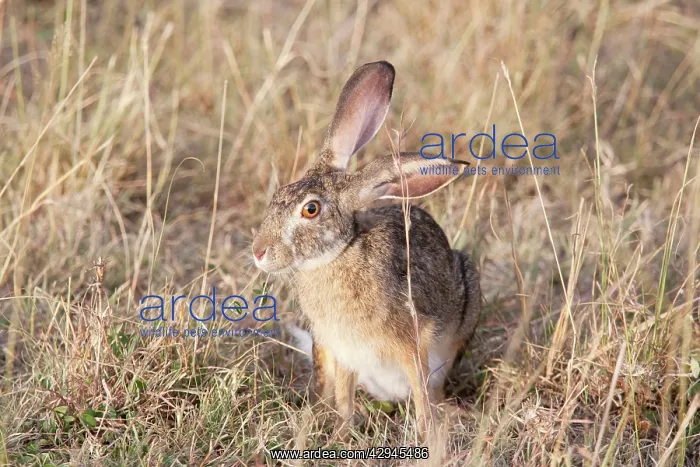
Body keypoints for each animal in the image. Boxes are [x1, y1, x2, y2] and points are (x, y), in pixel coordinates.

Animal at [251, 61, 481, 438]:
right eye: (279, 193)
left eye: (310, 209)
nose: (258, 251)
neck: (340, 253)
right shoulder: (342, 350)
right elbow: (345, 398)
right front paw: (341, 434)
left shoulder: (413, 342)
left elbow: (421, 394)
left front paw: (427, 432)